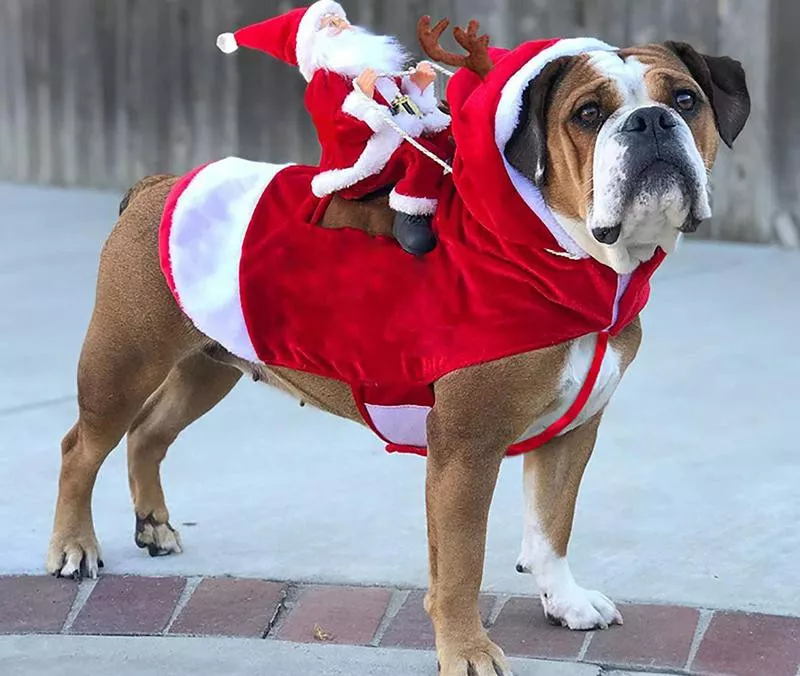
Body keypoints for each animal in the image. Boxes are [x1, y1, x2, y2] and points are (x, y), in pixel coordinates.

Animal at [47, 21, 752, 676]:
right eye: (588, 114)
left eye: (686, 100)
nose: (652, 121)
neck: (563, 254)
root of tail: (157, 184)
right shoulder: (466, 451)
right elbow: (462, 563)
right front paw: (468, 652)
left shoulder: (573, 433)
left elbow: (553, 523)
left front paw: (566, 602)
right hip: (123, 362)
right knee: (83, 446)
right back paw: (74, 547)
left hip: (207, 365)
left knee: (149, 434)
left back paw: (154, 524)